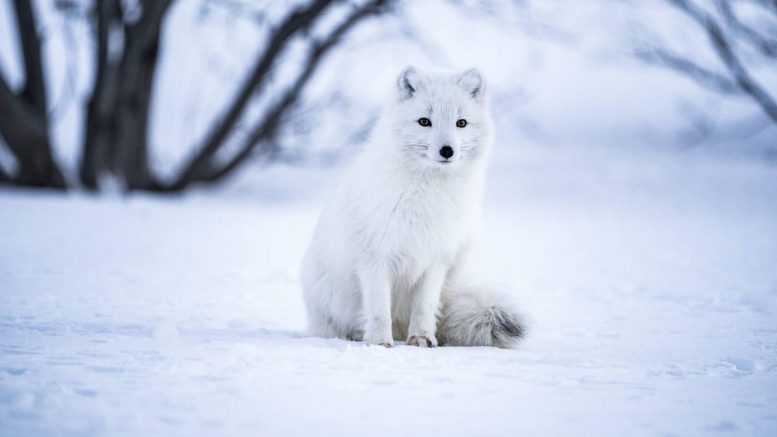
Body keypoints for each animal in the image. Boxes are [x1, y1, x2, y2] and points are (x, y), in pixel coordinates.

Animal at [300, 66, 525, 348]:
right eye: (424, 121)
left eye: (461, 123)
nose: (447, 150)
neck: (427, 194)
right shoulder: (374, 256)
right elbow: (378, 308)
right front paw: (379, 342)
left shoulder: (436, 257)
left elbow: (424, 305)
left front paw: (421, 338)